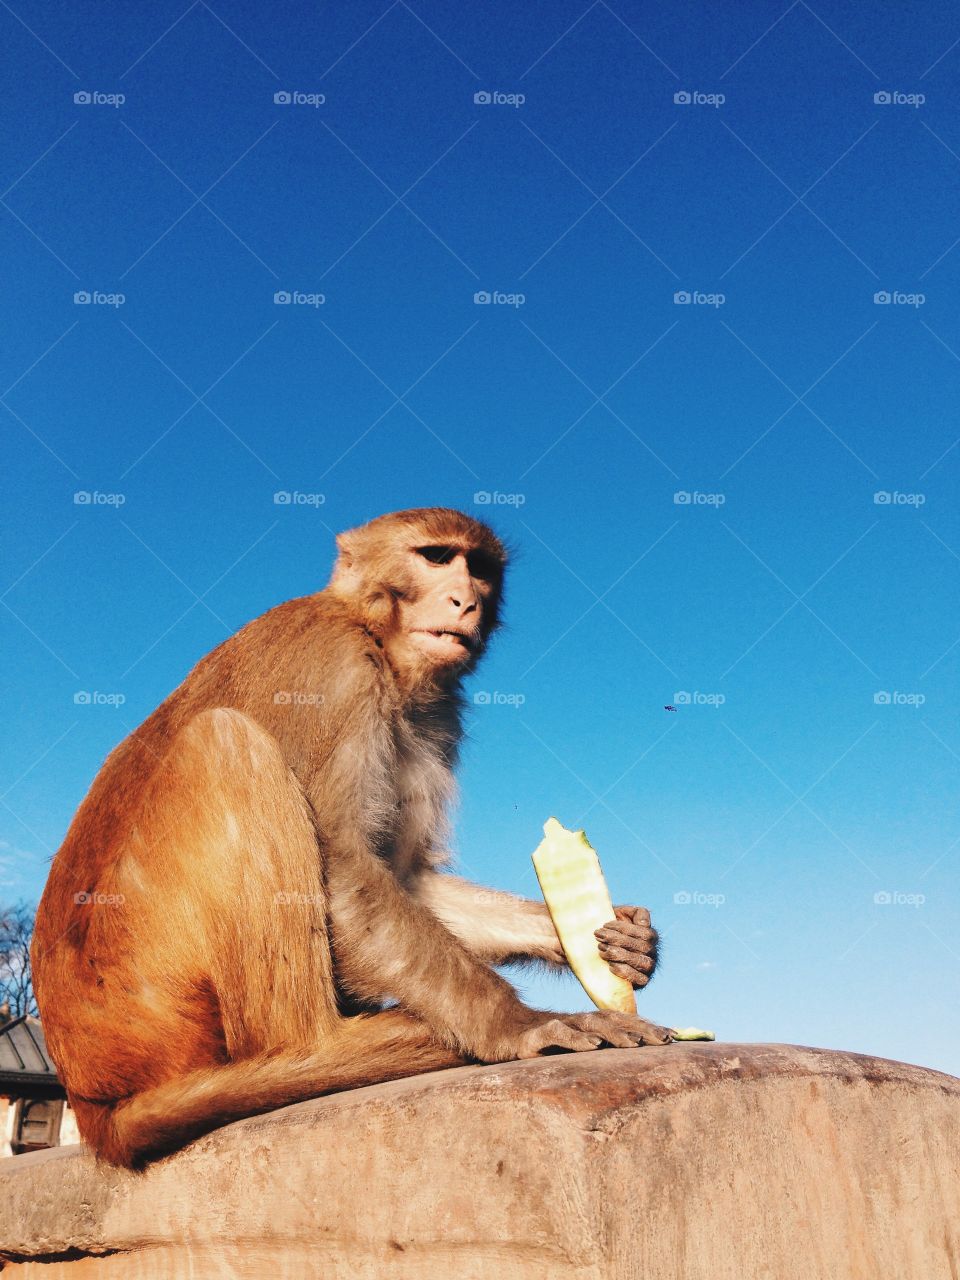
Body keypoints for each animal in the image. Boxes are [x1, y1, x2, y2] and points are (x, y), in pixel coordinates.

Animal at [31, 508, 669, 1168]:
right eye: (436, 557)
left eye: (479, 567)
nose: (465, 599)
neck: (375, 632)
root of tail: (95, 1104)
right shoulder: (335, 668)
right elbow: (343, 866)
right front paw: (515, 1023)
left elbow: (404, 876)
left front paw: (619, 939)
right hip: (150, 1003)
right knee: (225, 742)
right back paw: (332, 1047)